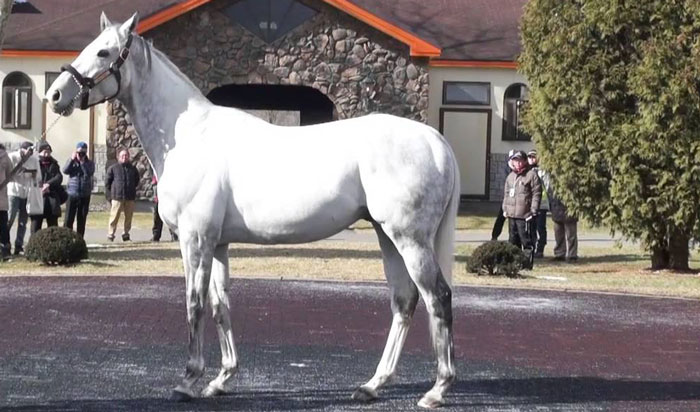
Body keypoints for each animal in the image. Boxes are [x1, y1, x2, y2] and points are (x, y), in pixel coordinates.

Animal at [47, 12, 459, 409]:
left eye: (103, 51)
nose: (55, 94)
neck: (190, 136)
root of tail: (435, 140)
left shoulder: (195, 240)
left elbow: (194, 303)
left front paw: (188, 380)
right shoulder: (217, 244)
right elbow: (219, 305)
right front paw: (220, 379)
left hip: (409, 239)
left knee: (437, 297)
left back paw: (437, 390)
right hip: (387, 236)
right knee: (404, 301)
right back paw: (373, 386)